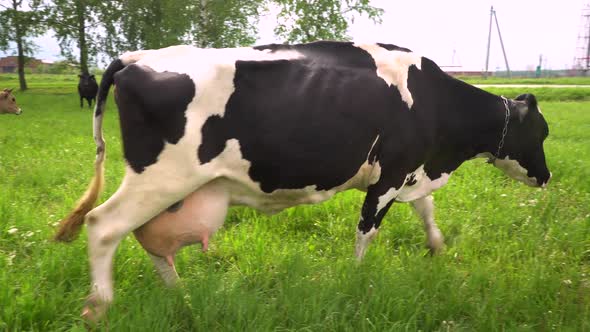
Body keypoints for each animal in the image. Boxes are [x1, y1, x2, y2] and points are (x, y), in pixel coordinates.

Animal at [54, 40, 552, 320]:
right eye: (542, 132)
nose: (547, 177)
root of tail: (136, 57)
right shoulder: (391, 173)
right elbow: (367, 232)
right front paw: (356, 280)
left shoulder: (411, 171)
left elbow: (425, 210)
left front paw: (438, 249)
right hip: (160, 177)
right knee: (103, 225)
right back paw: (101, 305)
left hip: (171, 188)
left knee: (147, 238)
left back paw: (181, 297)